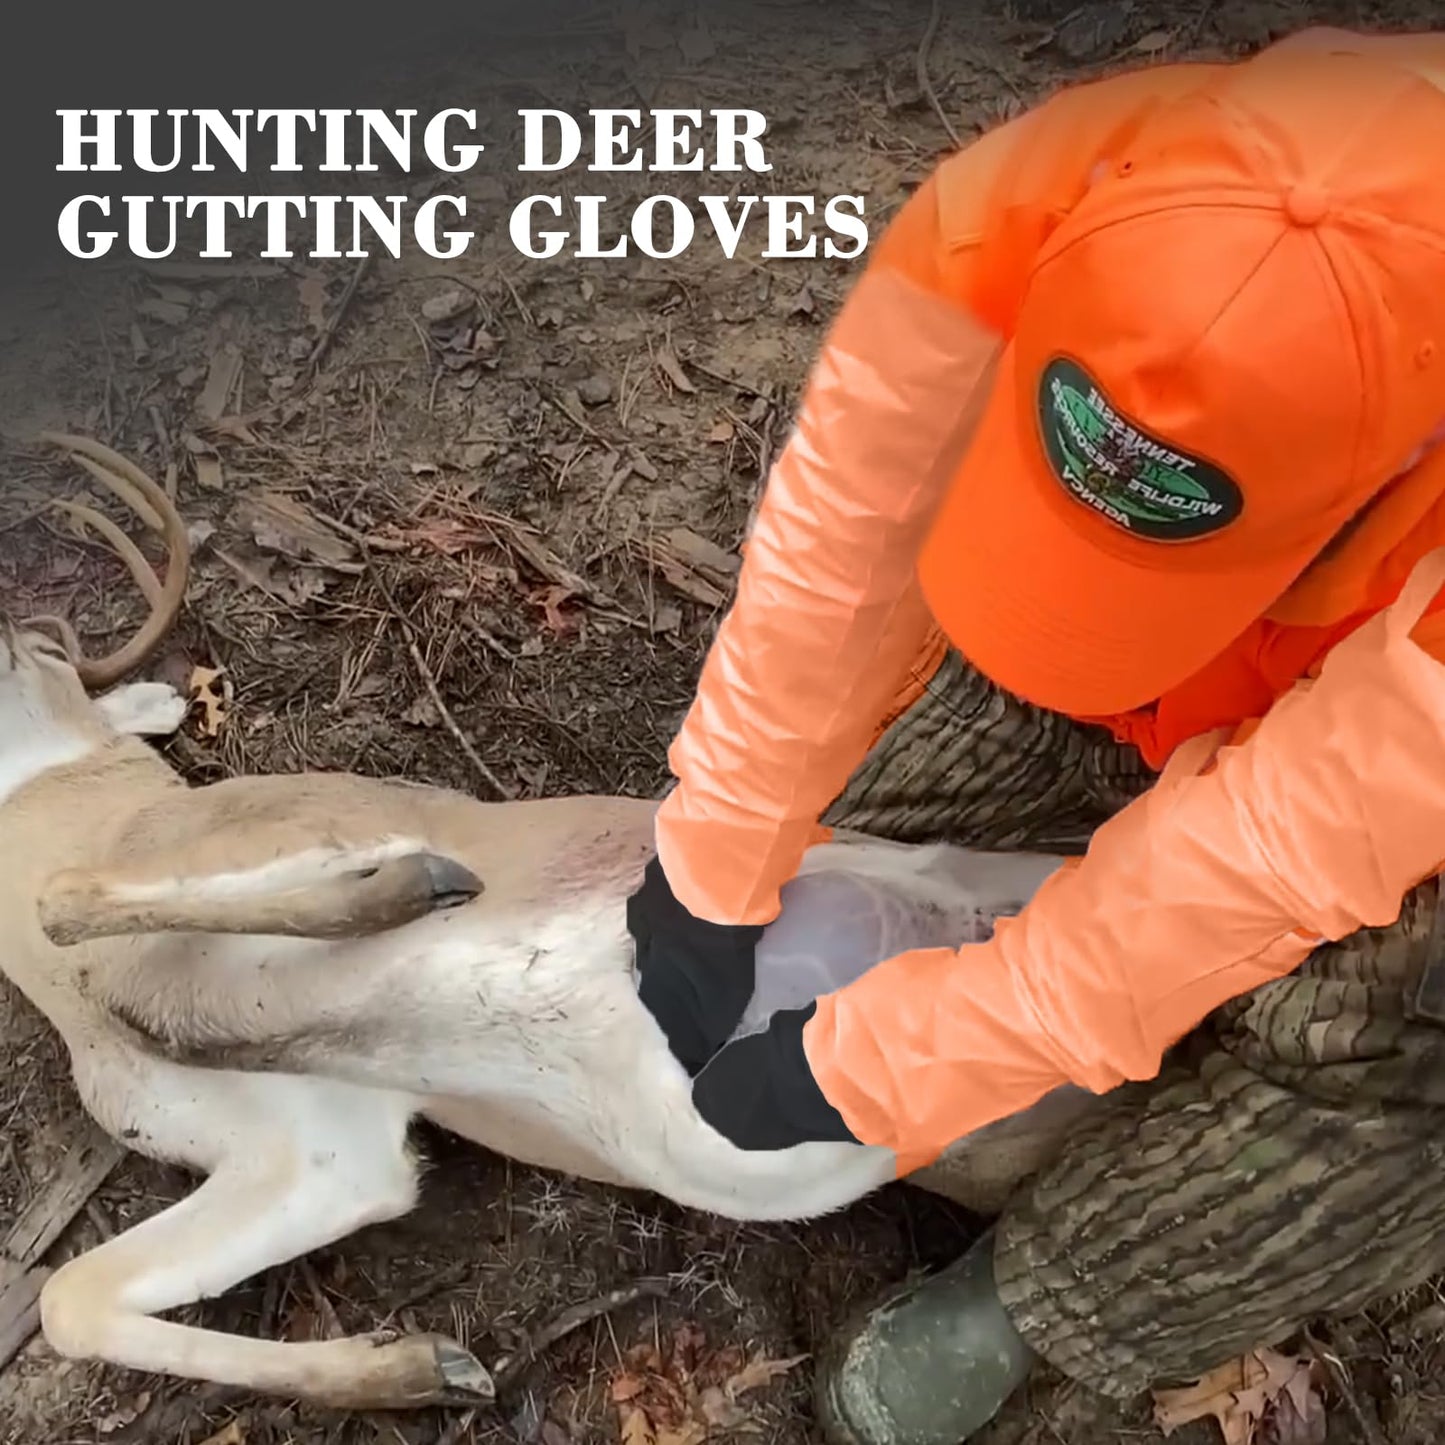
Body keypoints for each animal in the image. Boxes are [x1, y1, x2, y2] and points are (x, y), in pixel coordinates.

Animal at [0, 434, 1094, 1411]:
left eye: (33, 646)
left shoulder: (295, 827)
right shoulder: (326, 1146)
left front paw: (408, 879)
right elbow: (70, 1296)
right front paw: (420, 1369)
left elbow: (95, 913)